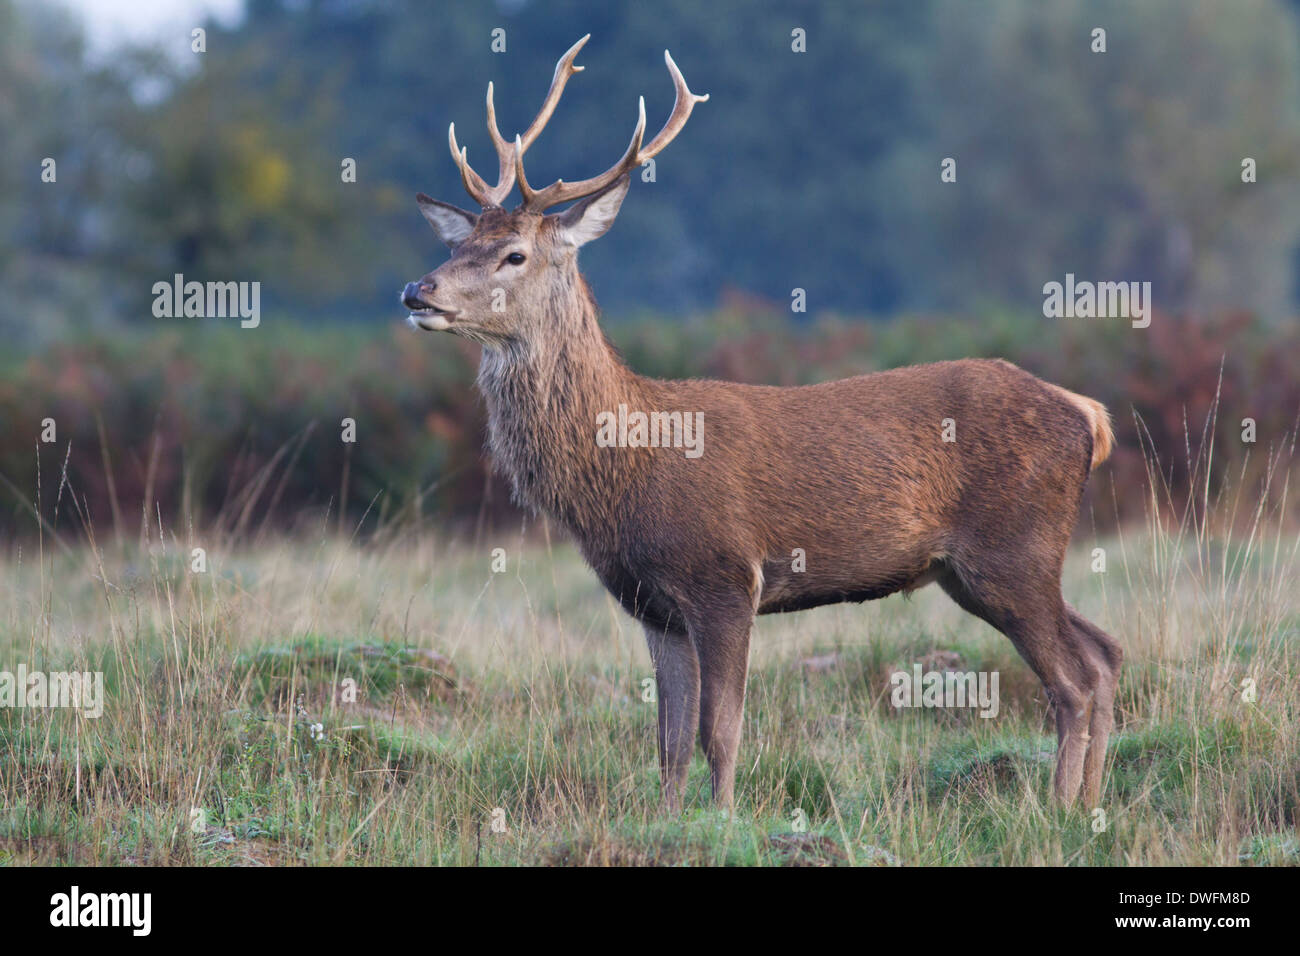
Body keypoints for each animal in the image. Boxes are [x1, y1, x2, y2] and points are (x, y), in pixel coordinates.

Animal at [400, 39, 1123, 816]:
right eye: (458, 245)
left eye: (515, 255)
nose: (417, 290)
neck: (623, 471)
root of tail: (1089, 415)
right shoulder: (652, 604)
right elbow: (668, 742)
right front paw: (669, 822)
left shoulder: (724, 576)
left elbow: (720, 729)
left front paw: (722, 820)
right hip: (978, 569)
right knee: (1106, 653)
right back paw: (1089, 803)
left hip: (1012, 549)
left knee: (1074, 678)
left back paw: (1058, 808)